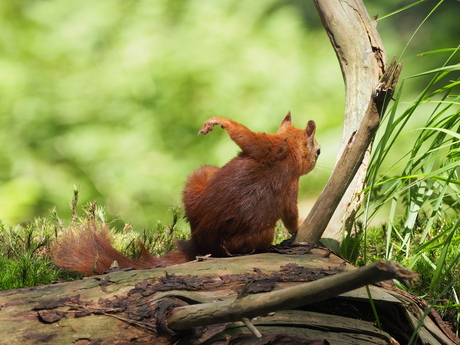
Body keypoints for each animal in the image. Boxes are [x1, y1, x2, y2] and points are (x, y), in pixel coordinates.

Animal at [53, 113, 320, 274]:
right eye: (318, 151)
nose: (318, 157)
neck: (289, 150)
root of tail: (200, 246)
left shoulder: (268, 147)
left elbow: (245, 137)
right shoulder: (281, 163)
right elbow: (291, 214)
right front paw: (300, 227)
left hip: (198, 183)